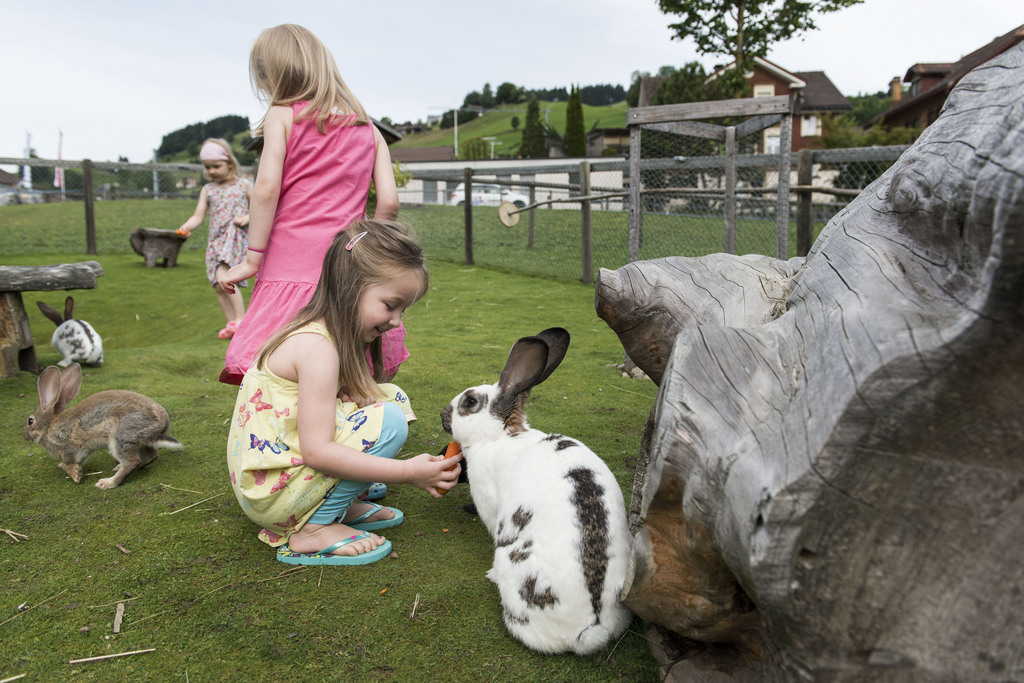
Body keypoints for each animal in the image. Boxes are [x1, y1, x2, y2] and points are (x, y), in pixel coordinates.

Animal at [24, 362, 183, 485]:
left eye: (30, 421)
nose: (25, 435)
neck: (48, 427)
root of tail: (163, 423)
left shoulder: (69, 445)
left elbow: (68, 462)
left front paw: (76, 475)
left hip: (121, 437)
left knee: (132, 461)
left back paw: (107, 483)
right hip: (138, 439)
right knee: (150, 456)